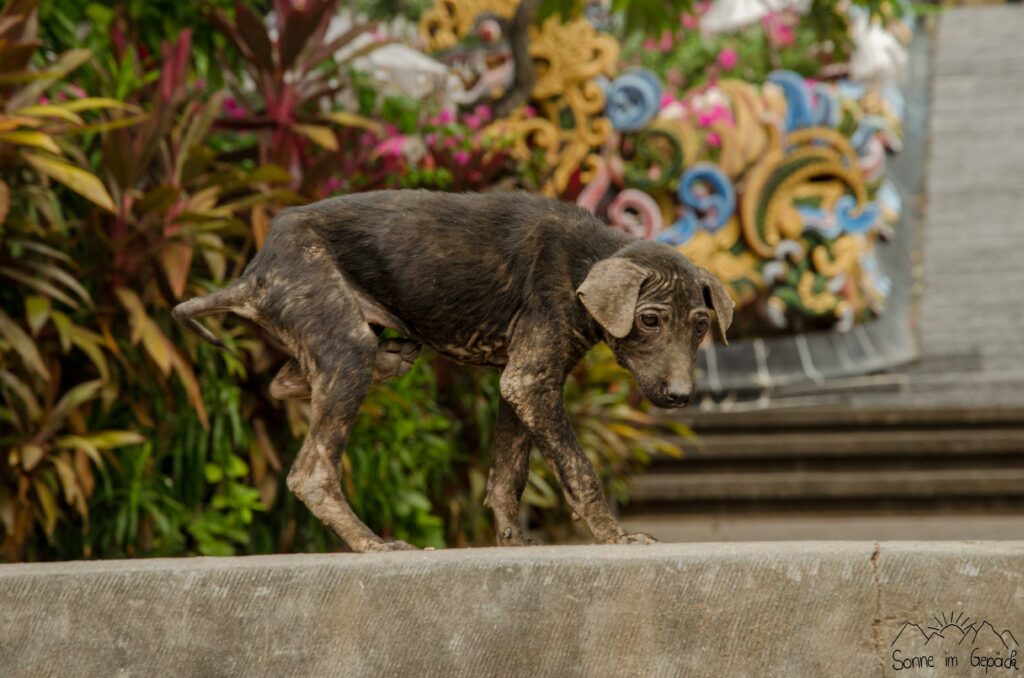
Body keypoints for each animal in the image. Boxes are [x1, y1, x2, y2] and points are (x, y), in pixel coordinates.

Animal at [178, 189, 737, 553]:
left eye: (701, 325)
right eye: (649, 320)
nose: (681, 396)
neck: (587, 262)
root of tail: (253, 275)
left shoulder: (520, 384)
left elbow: (507, 475)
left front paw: (512, 542)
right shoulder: (530, 381)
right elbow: (579, 469)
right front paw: (614, 535)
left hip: (331, 340)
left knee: (285, 381)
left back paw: (391, 359)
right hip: (343, 344)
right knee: (311, 472)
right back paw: (372, 544)